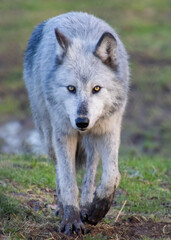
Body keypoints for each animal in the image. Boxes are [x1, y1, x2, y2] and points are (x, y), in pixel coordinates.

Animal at [23, 12, 129, 235]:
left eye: (96, 88)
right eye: (71, 88)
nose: (81, 122)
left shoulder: (109, 130)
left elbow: (112, 176)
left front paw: (98, 209)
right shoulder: (64, 134)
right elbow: (68, 180)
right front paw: (71, 219)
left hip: (92, 143)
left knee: (91, 173)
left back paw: (88, 205)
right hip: (49, 137)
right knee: (59, 171)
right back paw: (62, 208)